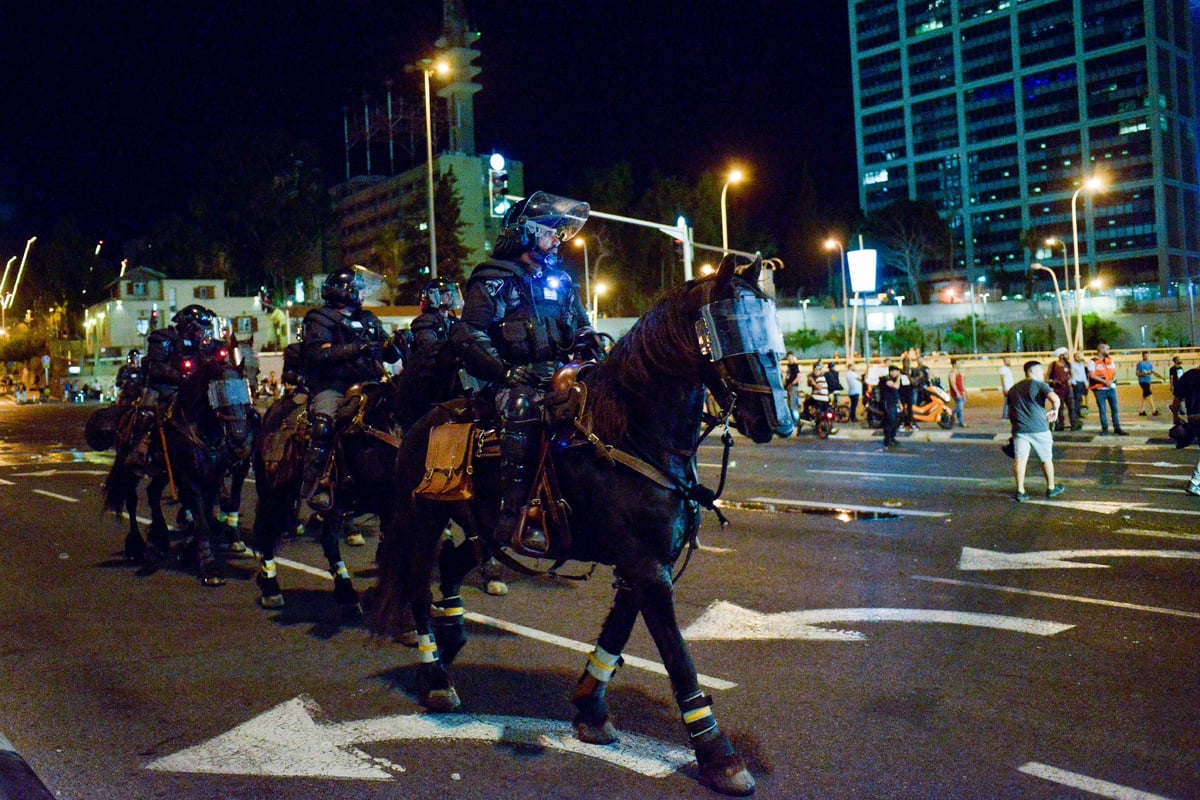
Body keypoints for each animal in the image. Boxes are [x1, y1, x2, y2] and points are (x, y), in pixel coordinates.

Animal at [101, 359, 258, 585]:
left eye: (245, 392)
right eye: (218, 393)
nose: (240, 441)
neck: (200, 428)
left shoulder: (213, 478)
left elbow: (206, 514)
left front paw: (189, 550)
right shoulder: (189, 479)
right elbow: (202, 520)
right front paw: (209, 568)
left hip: (163, 472)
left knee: (153, 493)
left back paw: (160, 537)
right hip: (130, 467)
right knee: (131, 499)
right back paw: (136, 545)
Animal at [369, 255, 792, 796]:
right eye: (728, 329)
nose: (778, 421)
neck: (632, 434)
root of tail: (422, 421)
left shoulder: (644, 564)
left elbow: (616, 634)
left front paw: (590, 708)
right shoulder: (647, 568)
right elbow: (678, 658)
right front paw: (719, 755)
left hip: (483, 528)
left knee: (453, 565)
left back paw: (453, 635)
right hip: (422, 518)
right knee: (418, 587)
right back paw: (436, 678)